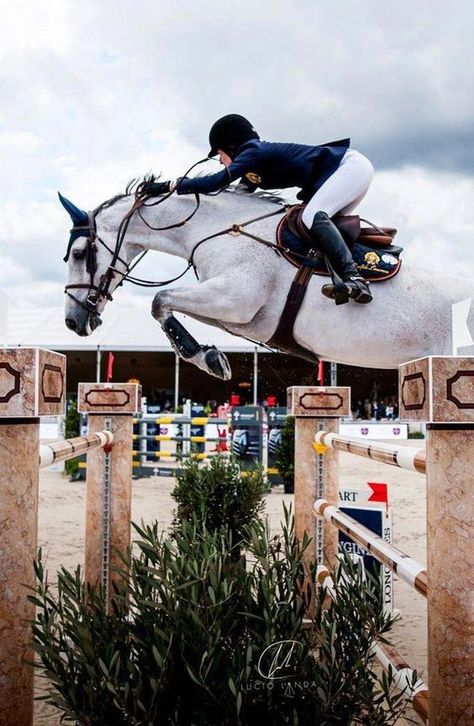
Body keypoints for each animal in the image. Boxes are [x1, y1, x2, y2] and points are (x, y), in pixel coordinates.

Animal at [61, 188, 472, 382]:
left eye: (80, 254)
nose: (72, 322)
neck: (213, 229)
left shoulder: (234, 297)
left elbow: (159, 300)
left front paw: (209, 359)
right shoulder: (241, 315)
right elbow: (168, 306)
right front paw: (210, 355)